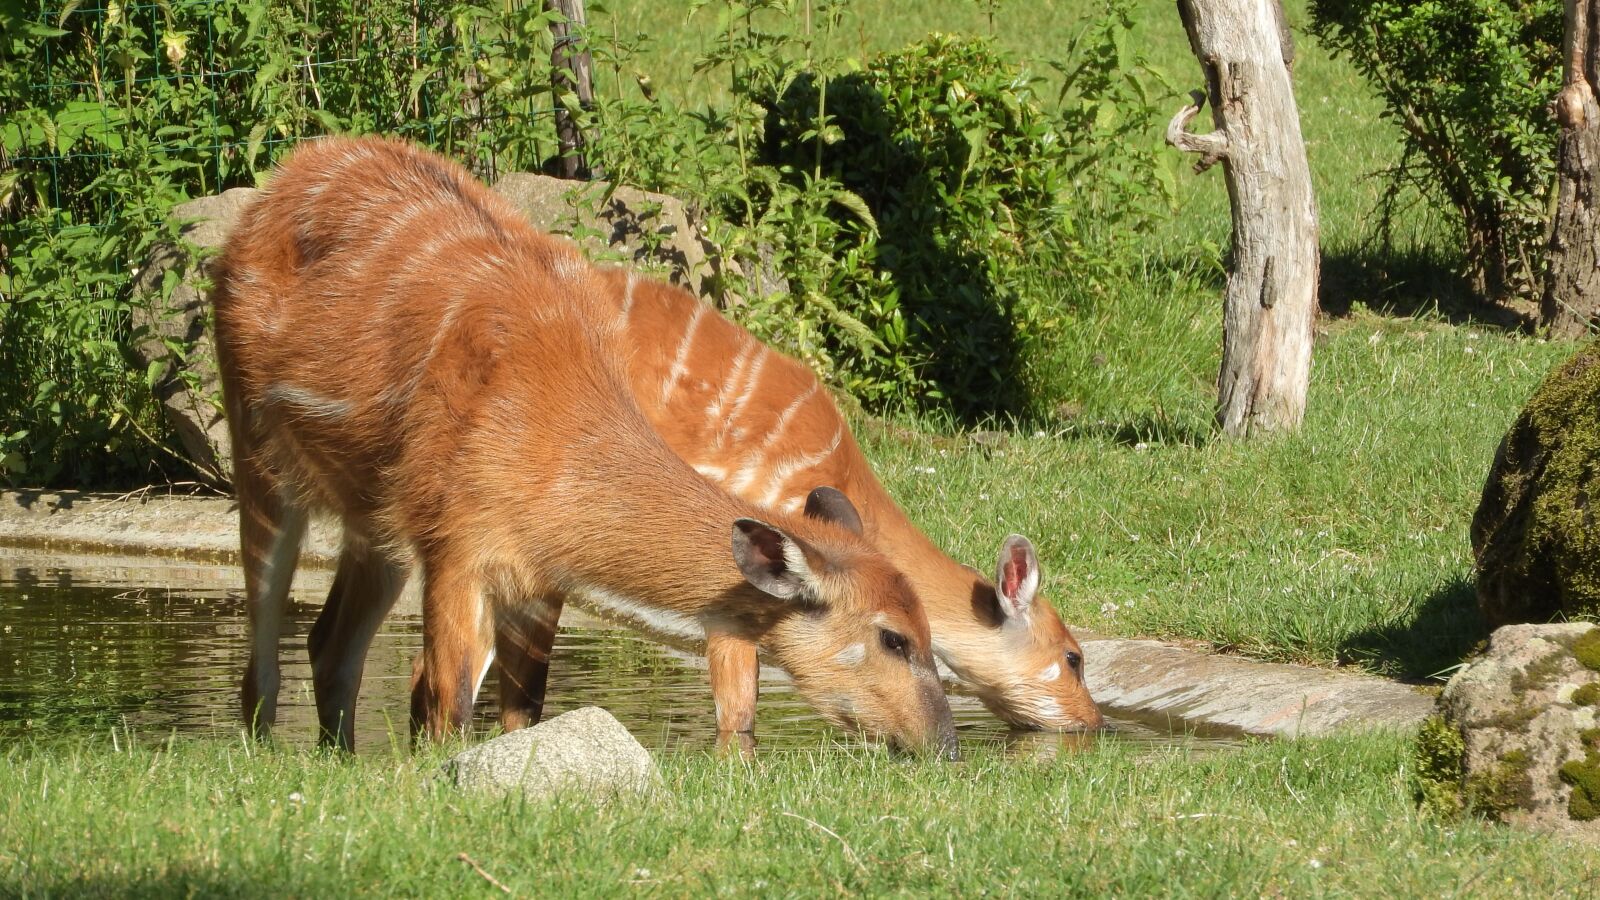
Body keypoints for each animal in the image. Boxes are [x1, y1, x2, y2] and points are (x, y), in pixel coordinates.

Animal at [214, 132, 960, 752]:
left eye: (929, 632)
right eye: (893, 638)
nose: (945, 745)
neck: (555, 438)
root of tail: (281, 182)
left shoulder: (539, 580)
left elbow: (523, 711)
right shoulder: (458, 551)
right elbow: (447, 704)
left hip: (377, 524)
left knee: (327, 641)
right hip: (259, 455)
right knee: (265, 645)